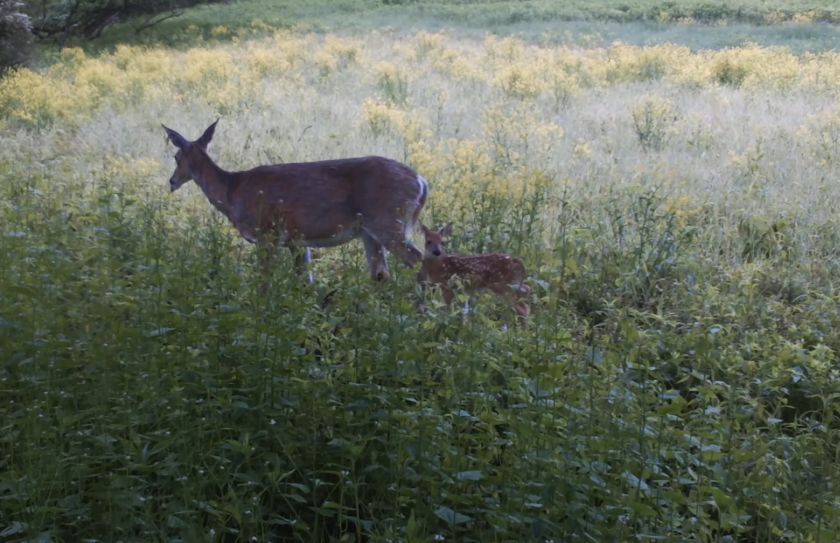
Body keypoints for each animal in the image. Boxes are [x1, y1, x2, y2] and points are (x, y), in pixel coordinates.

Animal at [162, 121, 430, 282]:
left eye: (176, 157)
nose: (172, 181)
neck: (232, 190)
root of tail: (421, 182)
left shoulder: (267, 232)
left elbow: (264, 278)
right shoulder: (298, 240)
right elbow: (305, 281)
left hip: (388, 222)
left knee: (419, 260)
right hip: (370, 232)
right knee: (381, 274)